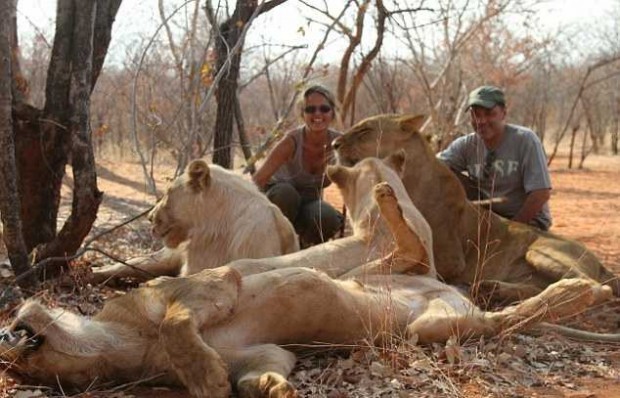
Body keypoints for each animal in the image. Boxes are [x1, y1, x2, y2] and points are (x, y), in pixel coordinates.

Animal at [0, 180, 612, 394]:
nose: (9, 338)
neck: (116, 349)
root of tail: (447, 293)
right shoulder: (267, 352)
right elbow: (262, 371)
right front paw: (267, 389)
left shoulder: (216, 281)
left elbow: (176, 320)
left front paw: (204, 380)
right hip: (425, 320)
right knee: (491, 311)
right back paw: (579, 294)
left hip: (403, 297)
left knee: (430, 260)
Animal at [334, 112, 620, 302]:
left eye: (365, 130)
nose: (334, 144)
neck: (408, 177)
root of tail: (599, 261)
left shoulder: (451, 260)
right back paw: (492, 289)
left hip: (541, 250)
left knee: (597, 287)